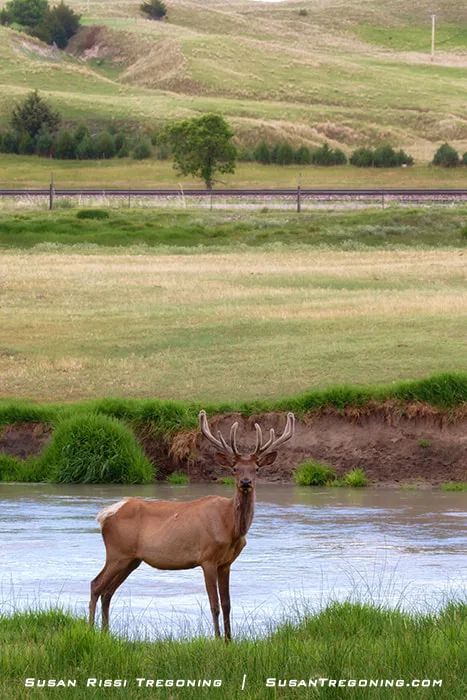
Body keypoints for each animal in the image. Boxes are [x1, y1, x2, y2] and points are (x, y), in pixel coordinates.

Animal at [89, 410, 295, 640]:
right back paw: (90, 630)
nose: (246, 482)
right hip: (117, 552)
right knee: (96, 585)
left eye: (257, 469)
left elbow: (227, 604)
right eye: (234, 469)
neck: (231, 527)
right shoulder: (207, 558)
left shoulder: (226, 563)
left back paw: (106, 632)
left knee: (108, 592)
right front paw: (217, 640)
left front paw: (229, 640)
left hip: (132, 559)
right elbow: (214, 605)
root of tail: (104, 514)